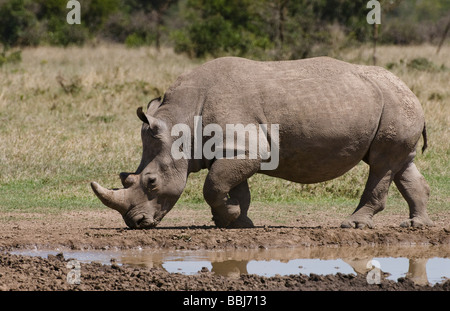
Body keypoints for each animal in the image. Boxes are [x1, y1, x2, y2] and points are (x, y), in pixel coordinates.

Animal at [90, 57, 432, 230]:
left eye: (151, 182)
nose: (136, 223)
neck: (180, 124)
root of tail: (409, 89)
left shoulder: (246, 148)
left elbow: (213, 185)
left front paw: (228, 217)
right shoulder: (233, 149)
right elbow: (233, 186)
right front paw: (236, 221)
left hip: (395, 106)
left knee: (382, 165)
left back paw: (353, 225)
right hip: (393, 105)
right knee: (399, 164)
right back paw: (416, 226)